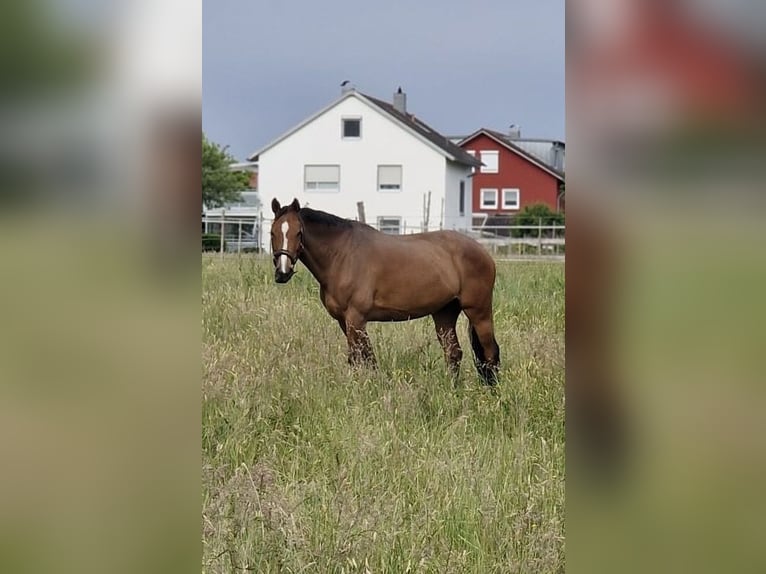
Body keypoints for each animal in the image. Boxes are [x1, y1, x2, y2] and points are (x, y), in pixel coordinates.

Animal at [269, 197, 500, 385]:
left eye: (298, 232)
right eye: (272, 233)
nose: (282, 273)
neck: (341, 255)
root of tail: (483, 252)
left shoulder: (356, 318)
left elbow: (361, 358)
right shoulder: (344, 321)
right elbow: (364, 358)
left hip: (479, 312)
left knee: (490, 353)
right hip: (445, 313)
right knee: (453, 353)